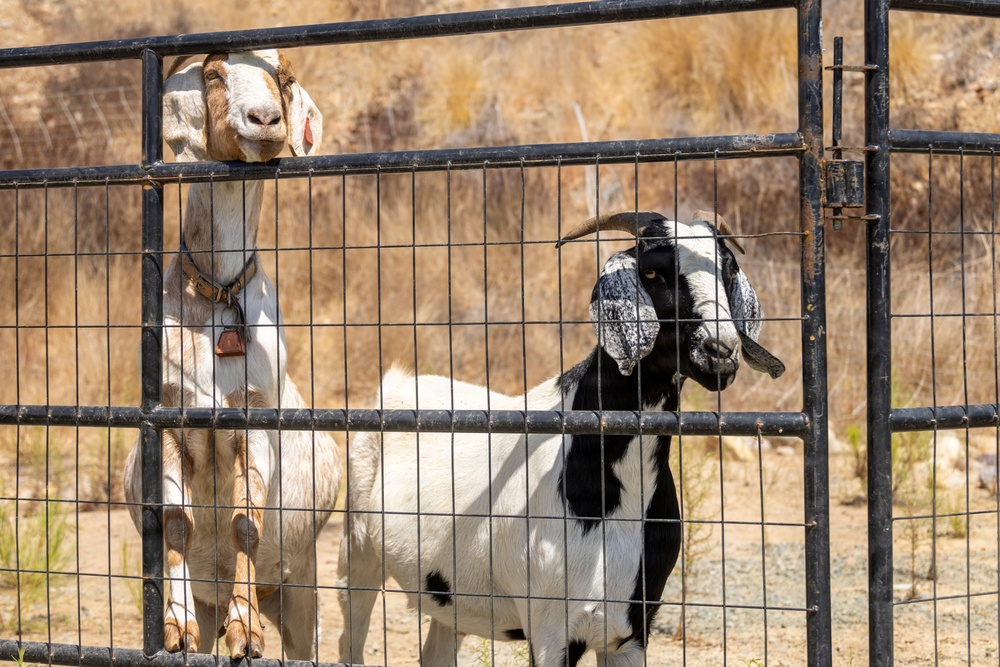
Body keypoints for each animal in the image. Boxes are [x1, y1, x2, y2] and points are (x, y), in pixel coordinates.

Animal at [123, 50, 340, 660]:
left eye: (284, 78)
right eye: (215, 74)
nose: (264, 120)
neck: (219, 293)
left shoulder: (254, 419)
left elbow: (246, 524)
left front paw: (246, 633)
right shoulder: (170, 422)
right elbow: (176, 523)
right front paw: (173, 628)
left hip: (301, 585)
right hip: (213, 593)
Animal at [336, 210, 784, 666]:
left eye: (729, 270)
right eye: (652, 271)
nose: (721, 351)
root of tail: (396, 383)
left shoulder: (632, 630)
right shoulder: (550, 628)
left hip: (449, 594)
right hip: (357, 548)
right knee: (349, 632)